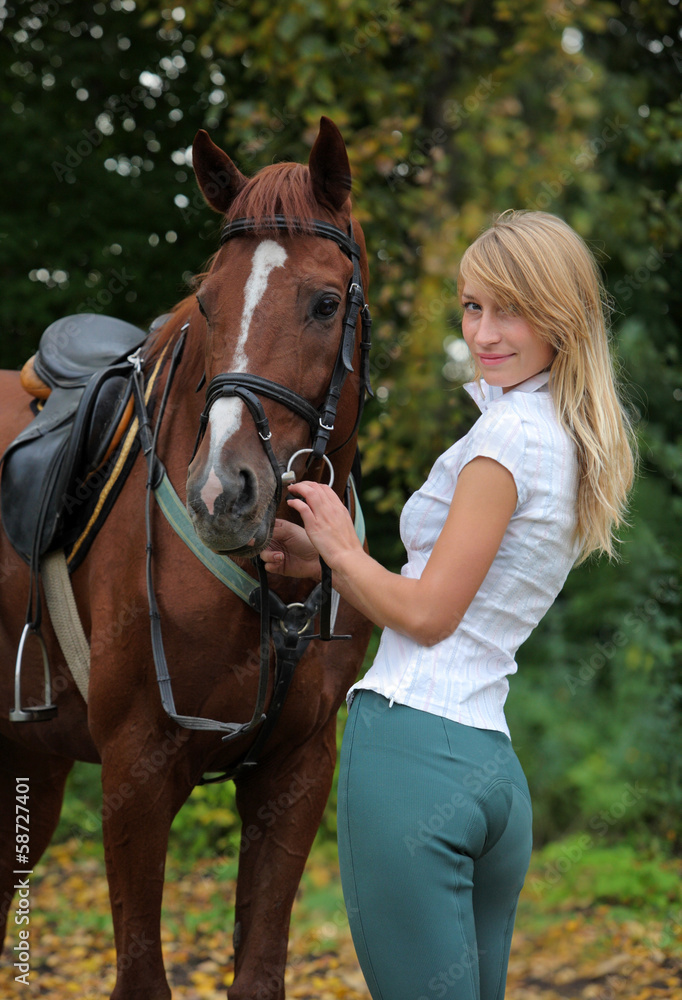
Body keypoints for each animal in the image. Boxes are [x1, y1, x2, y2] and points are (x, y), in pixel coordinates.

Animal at [0, 116, 374, 1000]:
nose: (221, 492)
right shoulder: (136, 772)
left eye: (325, 302)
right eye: (208, 302)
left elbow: (259, 973)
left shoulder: (295, 773)